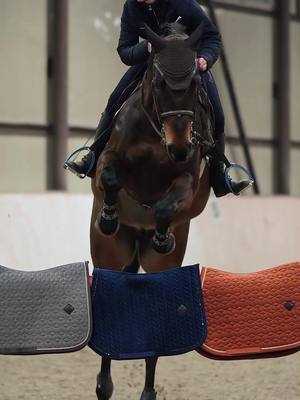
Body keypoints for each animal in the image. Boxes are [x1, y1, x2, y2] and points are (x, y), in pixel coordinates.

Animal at [90, 22, 212, 400]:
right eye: (159, 82)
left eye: (196, 84)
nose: (180, 147)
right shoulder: (110, 159)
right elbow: (111, 177)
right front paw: (109, 217)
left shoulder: (189, 179)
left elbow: (167, 204)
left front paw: (162, 236)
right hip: (110, 254)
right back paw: (104, 386)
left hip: (162, 266)